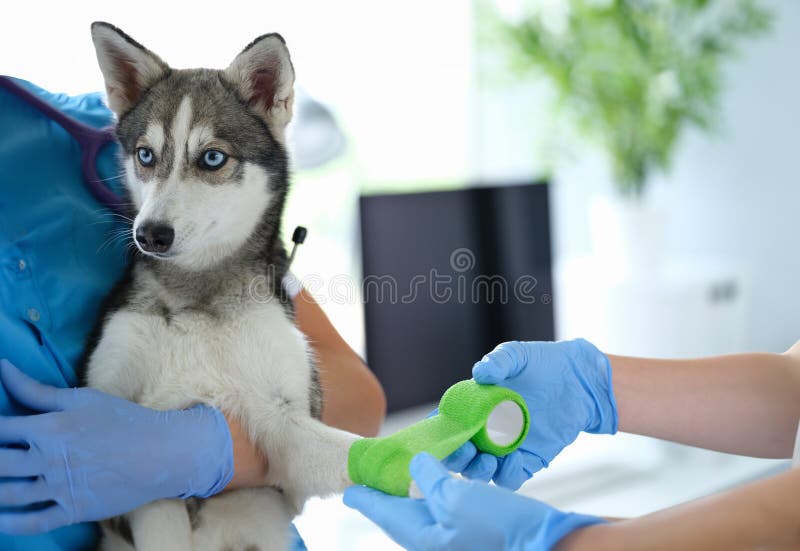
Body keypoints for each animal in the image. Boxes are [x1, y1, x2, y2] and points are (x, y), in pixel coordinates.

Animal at [80, 22, 356, 551]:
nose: (150, 234)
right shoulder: (119, 418)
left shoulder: (283, 429)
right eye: (145, 155)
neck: (197, 295)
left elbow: (369, 454)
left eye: (211, 158)